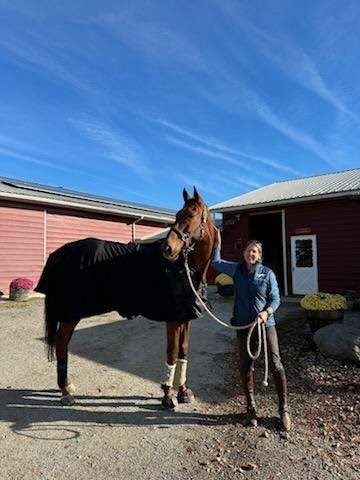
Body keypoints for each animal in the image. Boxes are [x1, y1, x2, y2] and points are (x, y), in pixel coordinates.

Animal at [35, 188, 217, 408]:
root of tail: (58, 254)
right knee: (62, 343)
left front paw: (183, 391)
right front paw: (168, 396)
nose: (168, 249)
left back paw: (68, 386)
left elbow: (183, 351)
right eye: (177, 215)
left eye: (190, 215)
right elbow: (172, 353)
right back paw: (65, 392)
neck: (185, 269)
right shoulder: (172, 319)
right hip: (70, 315)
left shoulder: (185, 318)